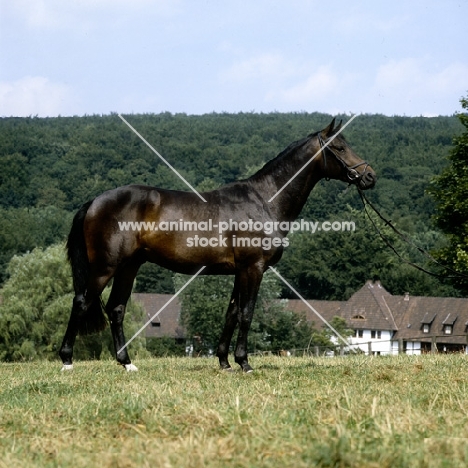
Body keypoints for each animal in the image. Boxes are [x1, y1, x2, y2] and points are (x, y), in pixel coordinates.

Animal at [59, 119, 376, 372]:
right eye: (340, 148)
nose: (369, 176)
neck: (264, 200)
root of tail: (95, 202)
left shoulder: (240, 271)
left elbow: (231, 313)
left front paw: (225, 362)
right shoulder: (253, 268)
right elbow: (246, 313)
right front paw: (245, 363)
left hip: (128, 267)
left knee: (116, 309)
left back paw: (127, 363)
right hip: (105, 267)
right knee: (82, 301)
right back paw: (67, 360)